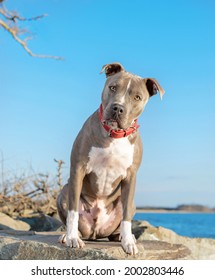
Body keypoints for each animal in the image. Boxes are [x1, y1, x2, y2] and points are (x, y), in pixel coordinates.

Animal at [57, 62, 165, 255]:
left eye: (137, 97)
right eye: (113, 87)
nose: (118, 108)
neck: (115, 135)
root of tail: (95, 232)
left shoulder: (130, 176)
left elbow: (127, 217)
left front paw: (128, 242)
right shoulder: (78, 168)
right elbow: (72, 211)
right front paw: (71, 238)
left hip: (129, 203)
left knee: (121, 220)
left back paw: (123, 237)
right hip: (64, 192)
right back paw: (69, 235)